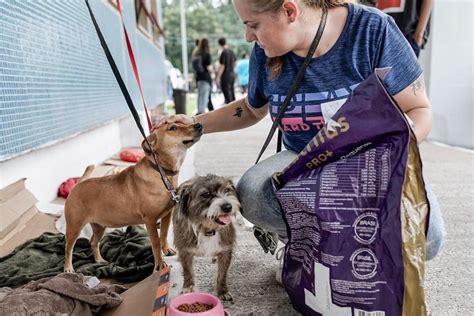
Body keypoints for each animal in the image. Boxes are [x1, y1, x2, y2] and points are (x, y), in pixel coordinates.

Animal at [63, 121, 202, 272]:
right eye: (173, 128)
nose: (199, 125)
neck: (161, 172)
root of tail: (77, 185)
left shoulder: (167, 214)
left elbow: (164, 234)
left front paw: (166, 249)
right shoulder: (150, 220)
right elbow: (155, 242)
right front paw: (160, 264)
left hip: (99, 226)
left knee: (93, 242)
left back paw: (99, 260)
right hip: (74, 227)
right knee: (68, 248)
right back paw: (68, 268)